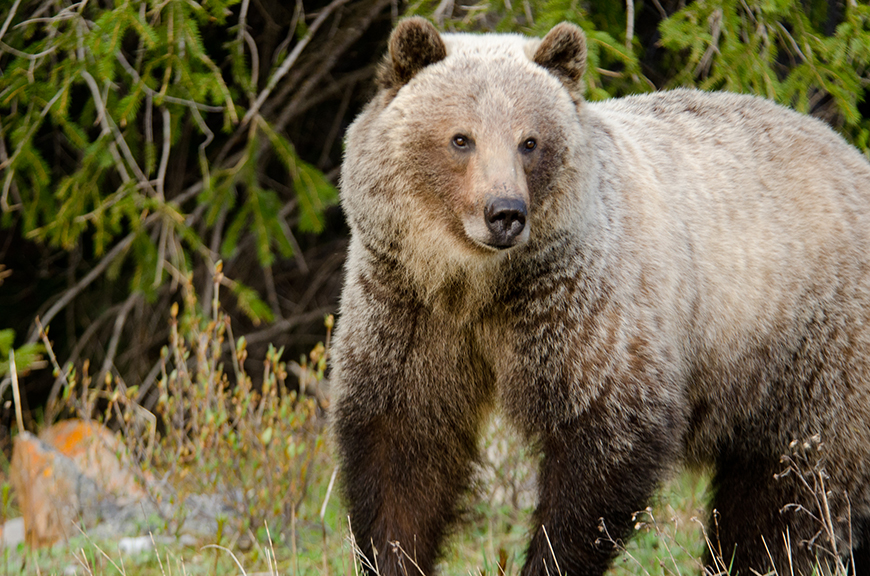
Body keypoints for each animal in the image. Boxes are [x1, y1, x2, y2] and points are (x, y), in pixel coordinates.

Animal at [330, 18, 870, 576]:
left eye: (530, 141)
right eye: (462, 138)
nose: (505, 212)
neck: (478, 285)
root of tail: (852, 154)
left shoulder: (584, 309)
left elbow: (603, 449)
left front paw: (551, 557)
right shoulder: (409, 312)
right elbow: (402, 452)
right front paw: (393, 553)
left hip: (811, 348)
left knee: (795, 494)